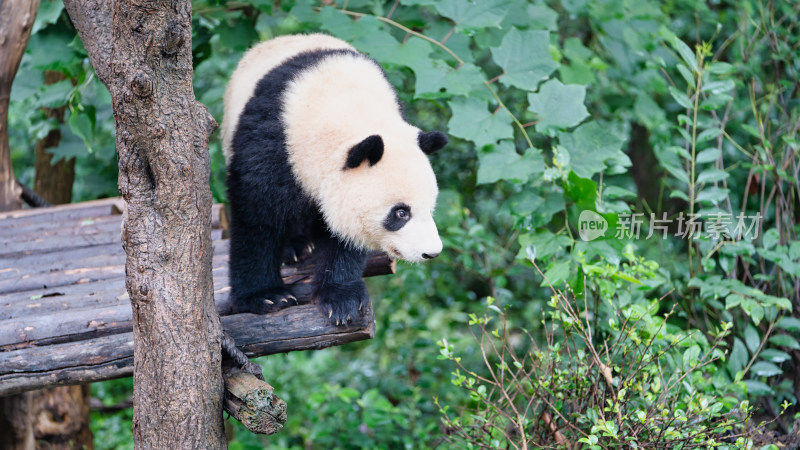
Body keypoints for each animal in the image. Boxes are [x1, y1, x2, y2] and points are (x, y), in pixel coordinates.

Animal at [222, 33, 446, 326]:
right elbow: (257, 213)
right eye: (400, 213)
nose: (431, 252)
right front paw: (266, 296)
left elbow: (344, 235)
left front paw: (341, 299)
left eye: (430, 208)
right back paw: (295, 247)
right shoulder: (273, 140)